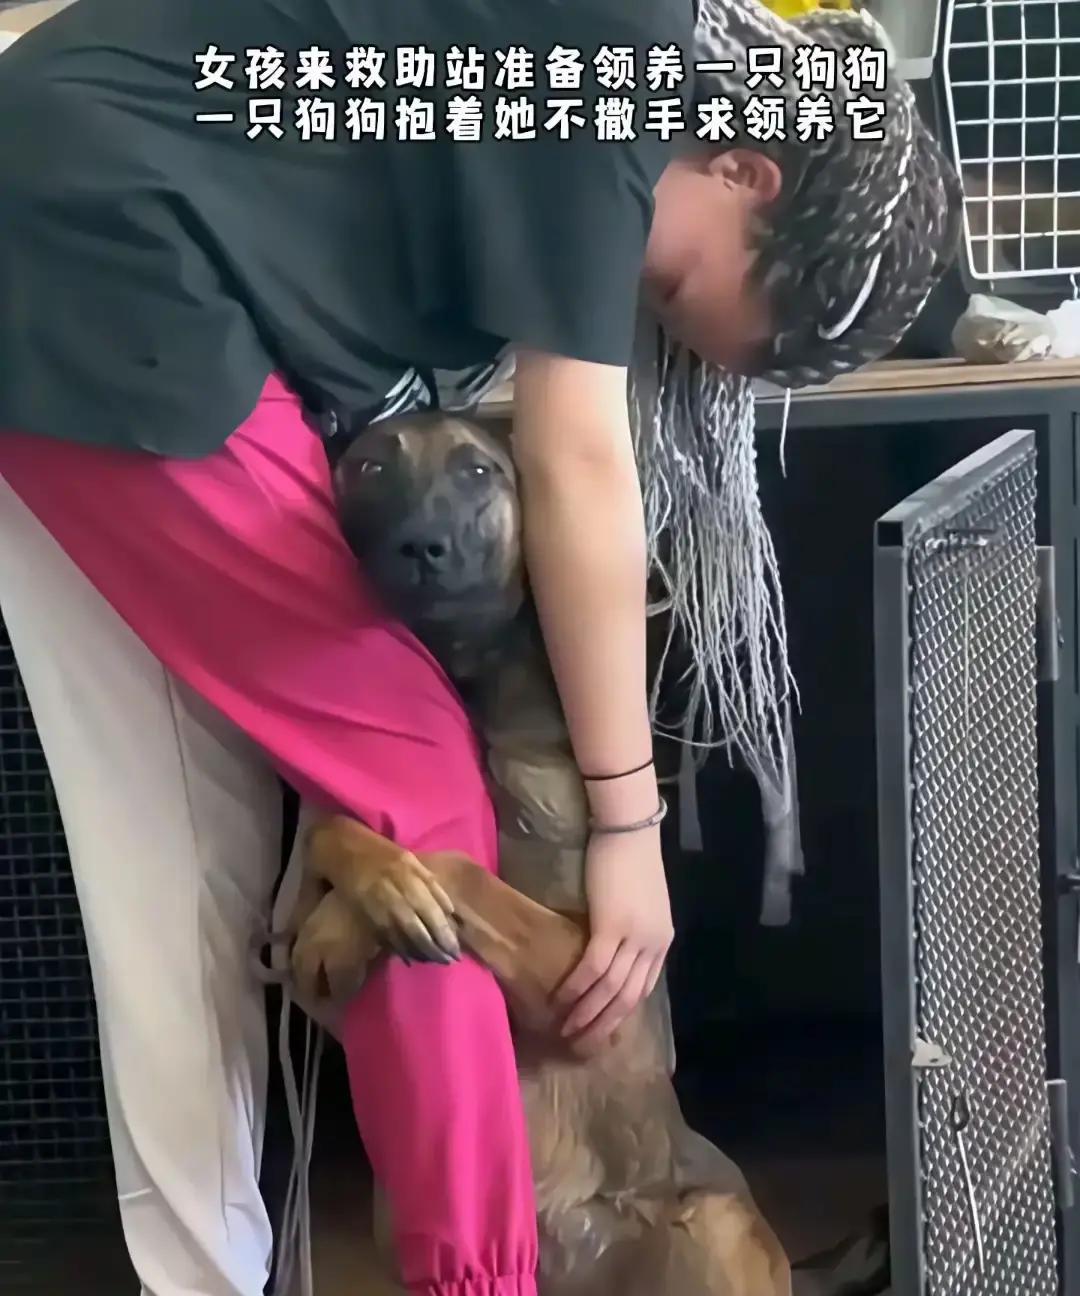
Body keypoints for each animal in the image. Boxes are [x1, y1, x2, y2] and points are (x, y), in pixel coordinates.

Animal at [289, 410, 792, 1296]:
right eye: (372, 468)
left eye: (477, 471)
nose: (422, 546)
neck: (466, 685)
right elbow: (334, 830)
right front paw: (366, 896)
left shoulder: (584, 981)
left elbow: (459, 867)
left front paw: (371, 910)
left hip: (713, 1221)